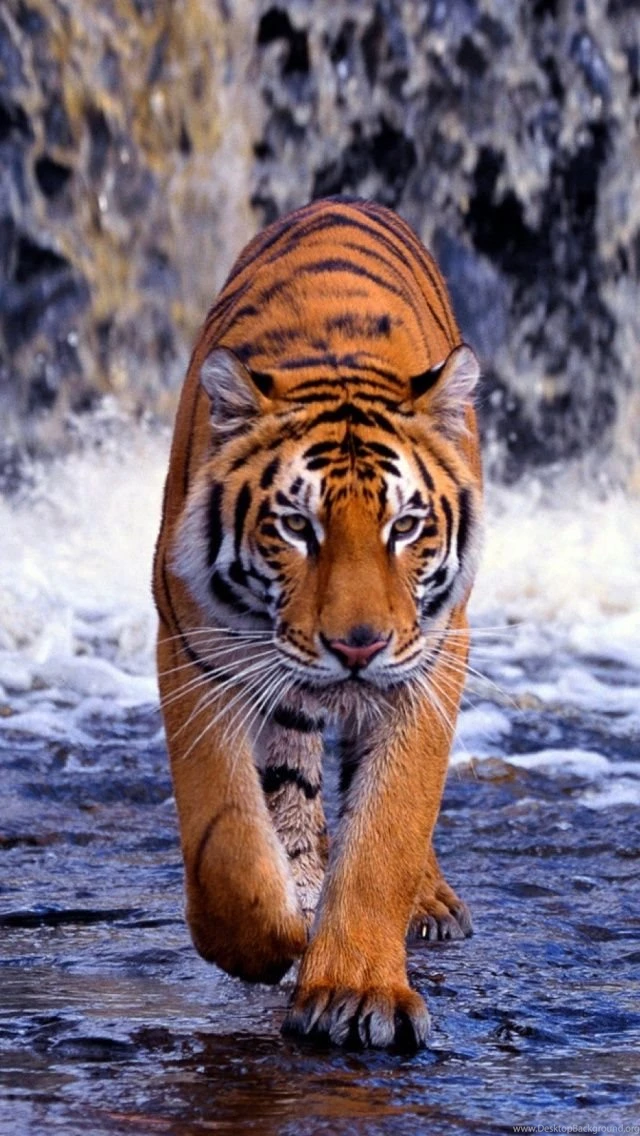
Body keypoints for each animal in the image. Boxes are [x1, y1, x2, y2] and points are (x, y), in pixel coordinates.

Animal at [153, 196, 483, 1051]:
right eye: (297, 526)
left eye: (406, 526)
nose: (356, 646)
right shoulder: (196, 649)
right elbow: (227, 837)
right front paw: (270, 940)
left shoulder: (430, 660)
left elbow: (389, 829)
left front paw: (355, 990)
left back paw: (427, 902)